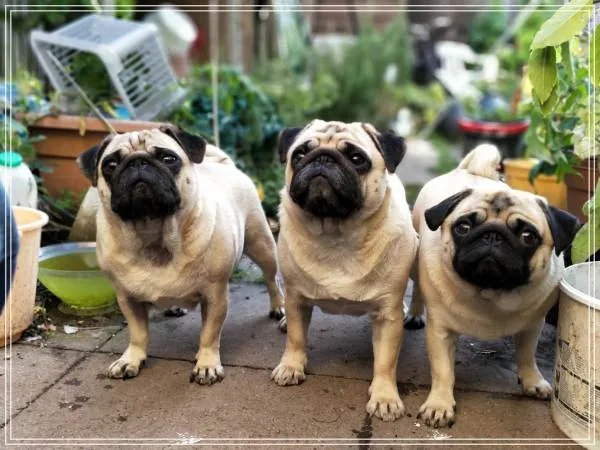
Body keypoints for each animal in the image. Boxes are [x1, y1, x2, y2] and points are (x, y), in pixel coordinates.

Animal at [77, 126, 284, 384]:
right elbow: (138, 333)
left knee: (271, 278)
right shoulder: (127, 298)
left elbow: (209, 334)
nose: (138, 162)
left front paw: (207, 364)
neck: (153, 234)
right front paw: (131, 359)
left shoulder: (215, 295)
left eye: (168, 159)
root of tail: (225, 165)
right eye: (111, 164)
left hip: (261, 244)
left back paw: (278, 306)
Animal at [271, 120, 418, 422]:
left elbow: (385, 361)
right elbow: (296, 338)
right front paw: (291, 366)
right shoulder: (296, 298)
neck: (336, 233)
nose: (323, 158)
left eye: (357, 159)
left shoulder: (387, 317)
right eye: (300, 154)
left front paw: (385, 397)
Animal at [409, 144, 579, 428]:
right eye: (463, 227)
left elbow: (527, 356)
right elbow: (443, 371)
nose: (492, 235)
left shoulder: (532, 326)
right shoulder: (441, 331)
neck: (490, 293)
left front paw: (533, 381)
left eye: (528, 236)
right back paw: (412, 314)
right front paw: (439, 404)